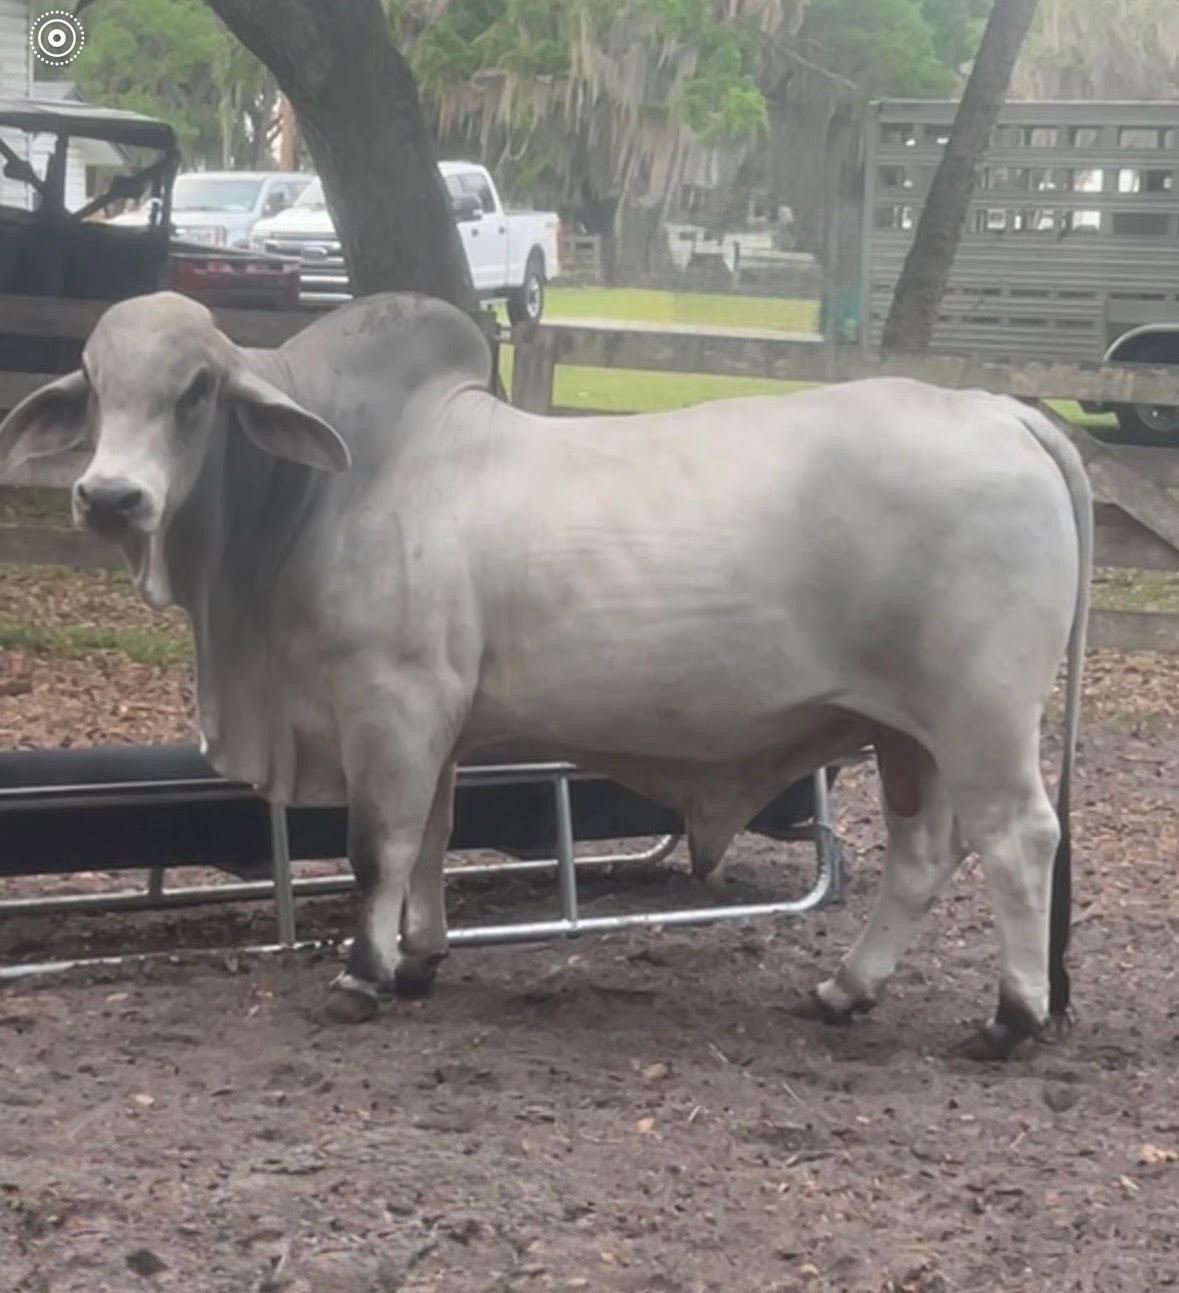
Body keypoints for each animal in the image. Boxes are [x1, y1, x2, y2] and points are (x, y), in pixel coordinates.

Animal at [0, 290, 1092, 1060]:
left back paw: (1009, 1018)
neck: (332, 487)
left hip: (981, 716)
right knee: (923, 855)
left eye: (196, 391)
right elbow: (431, 841)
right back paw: (844, 990)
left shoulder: (391, 704)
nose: (110, 497)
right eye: (93, 383)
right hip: (907, 732)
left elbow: (376, 849)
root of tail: (1000, 412)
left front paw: (362, 976)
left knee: (1018, 839)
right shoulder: (435, 725)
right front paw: (420, 959)